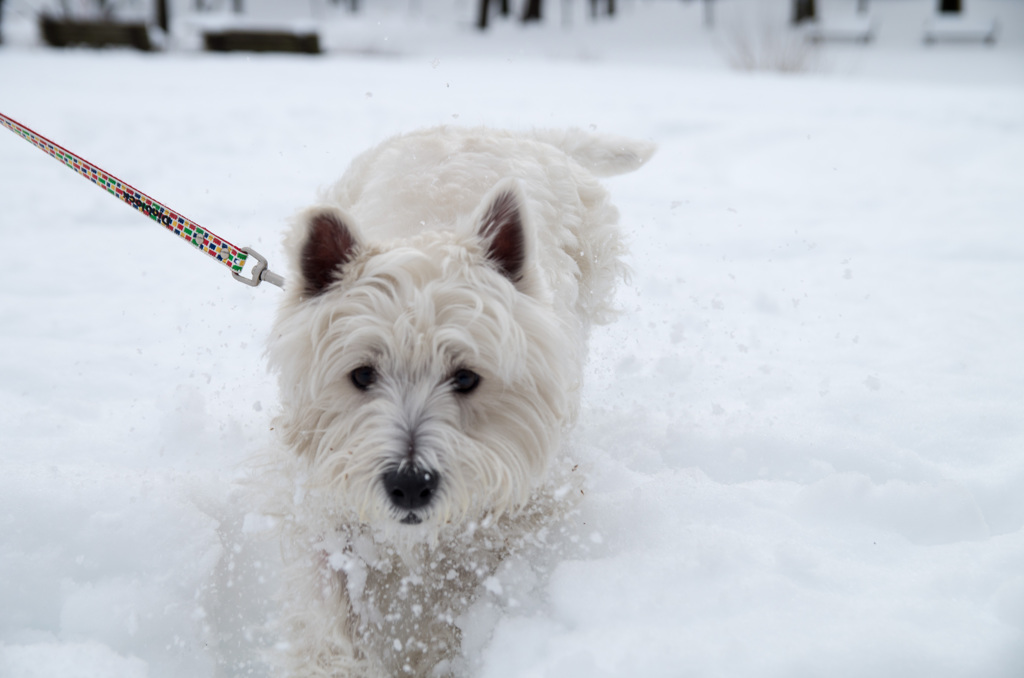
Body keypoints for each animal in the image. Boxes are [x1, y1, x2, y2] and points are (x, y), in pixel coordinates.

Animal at [260, 125, 651, 675]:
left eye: (465, 377)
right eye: (362, 374)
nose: (409, 486)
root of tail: (493, 129)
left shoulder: (512, 507)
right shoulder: (323, 502)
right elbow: (326, 608)